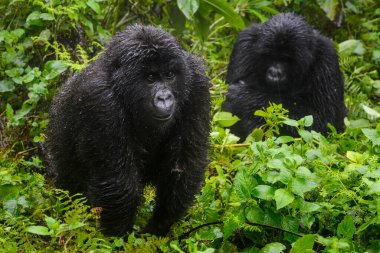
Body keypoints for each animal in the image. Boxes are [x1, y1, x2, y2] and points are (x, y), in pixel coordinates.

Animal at [46, 24, 211, 236]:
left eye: (170, 75)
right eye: (150, 78)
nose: (164, 98)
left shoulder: (198, 82)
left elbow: (183, 167)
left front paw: (158, 227)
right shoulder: (99, 99)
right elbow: (120, 184)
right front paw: (117, 238)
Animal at [224, 12, 346, 141]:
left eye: (287, 60)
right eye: (270, 56)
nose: (274, 73)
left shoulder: (327, 56)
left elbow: (322, 119)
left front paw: (244, 96)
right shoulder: (244, 43)